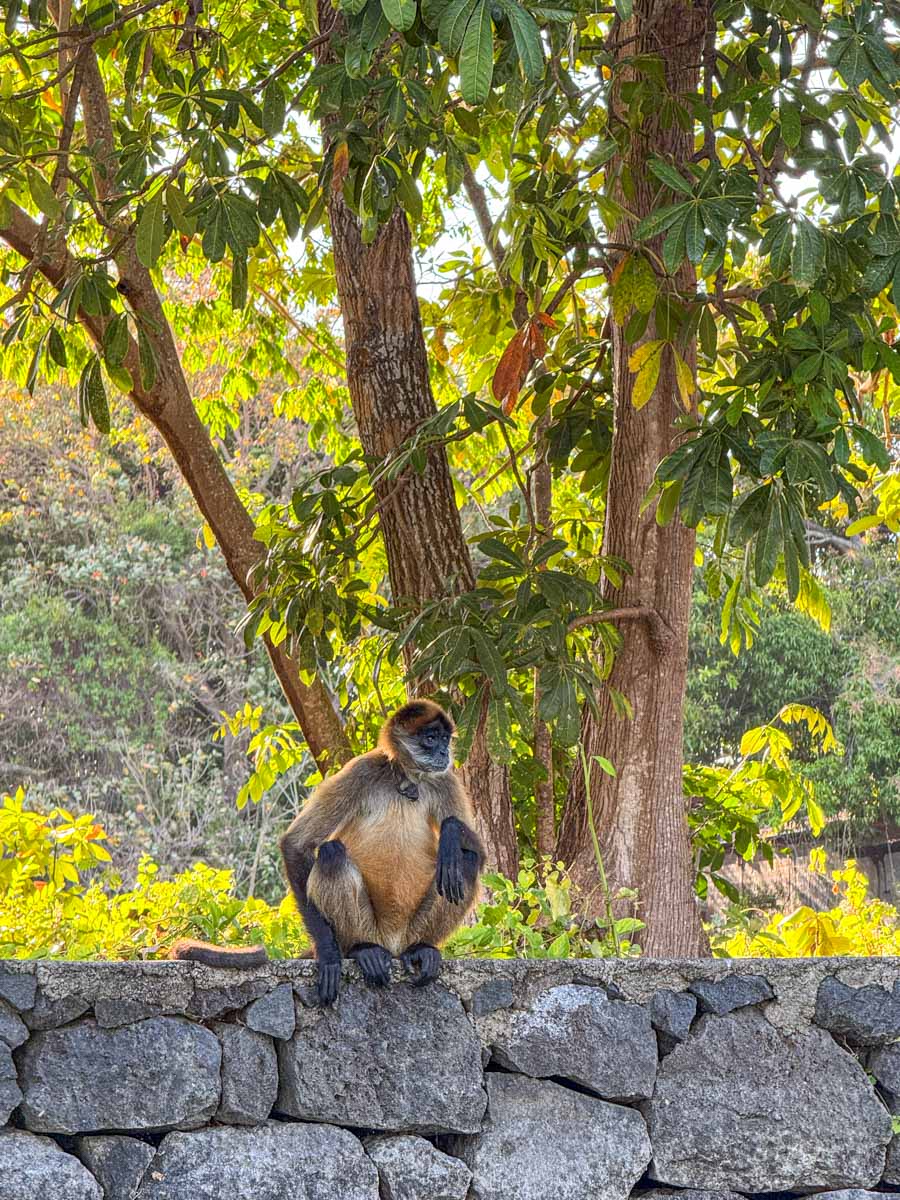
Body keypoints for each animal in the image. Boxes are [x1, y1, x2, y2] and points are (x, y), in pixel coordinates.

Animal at [171, 700, 485, 1006]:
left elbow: (479, 854)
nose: (444, 751)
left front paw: (450, 833)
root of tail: (391, 941)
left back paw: (421, 947)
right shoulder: (364, 769)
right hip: (365, 927)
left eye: (445, 739)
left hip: (410, 928)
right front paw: (328, 954)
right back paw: (361, 949)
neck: (407, 777)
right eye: (430, 739)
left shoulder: (444, 779)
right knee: (332, 854)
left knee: (463, 861)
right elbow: (296, 845)